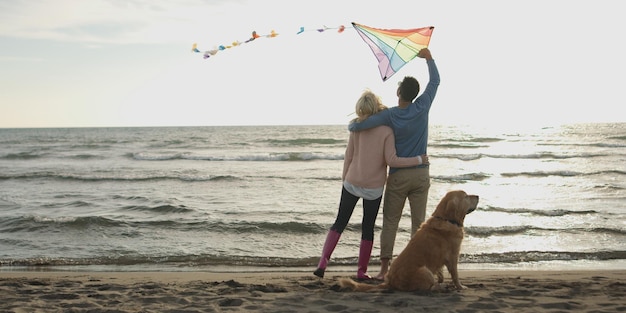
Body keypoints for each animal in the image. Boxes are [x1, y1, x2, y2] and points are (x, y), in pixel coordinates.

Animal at [336, 189, 478, 292]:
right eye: (466, 196)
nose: (477, 196)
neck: (446, 219)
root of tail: (390, 282)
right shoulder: (453, 255)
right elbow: (455, 275)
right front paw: (460, 286)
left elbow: (440, 272)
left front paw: (443, 279)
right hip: (424, 270)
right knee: (429, 288)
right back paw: (441, 287)